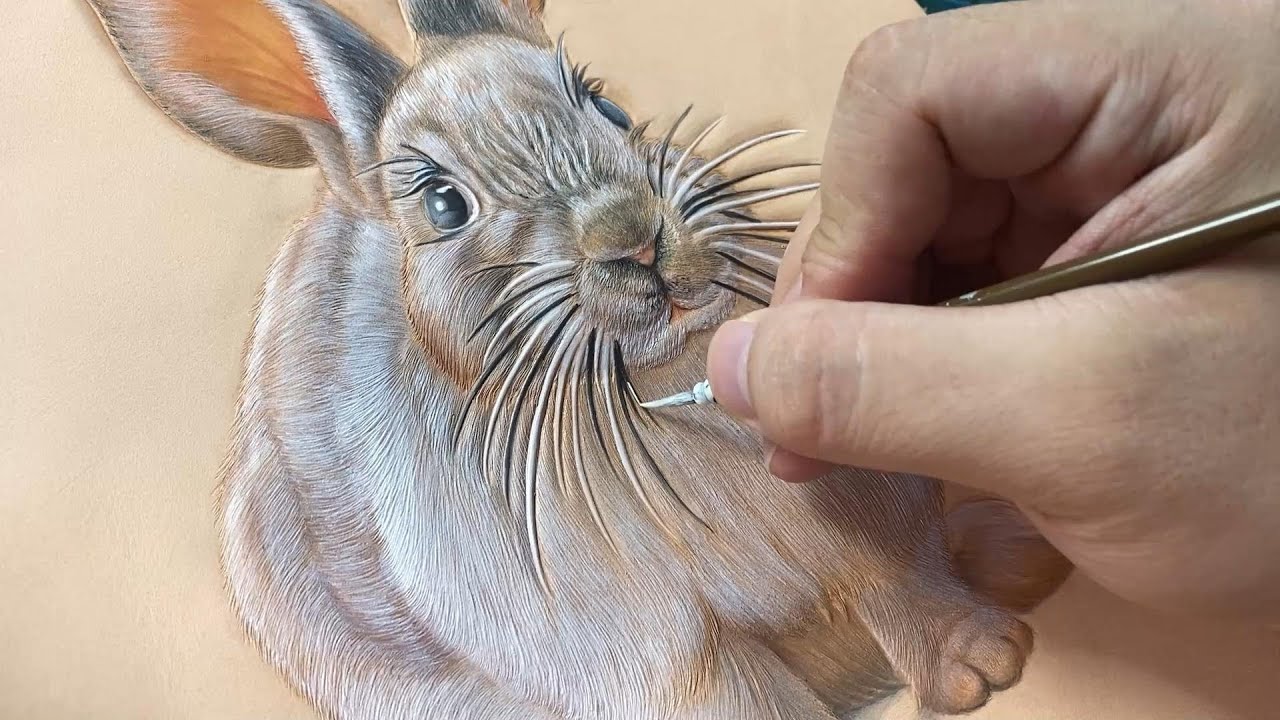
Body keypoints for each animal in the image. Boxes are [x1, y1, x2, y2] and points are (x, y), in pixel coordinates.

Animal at [84, 0, 1072, 718]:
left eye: (606, 104)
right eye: (443, 205)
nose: (633, 237)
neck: (662, 392)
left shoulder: (878, 529)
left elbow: (906, 581)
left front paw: (987, 665)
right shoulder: (663, 661)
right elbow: (742, 695)